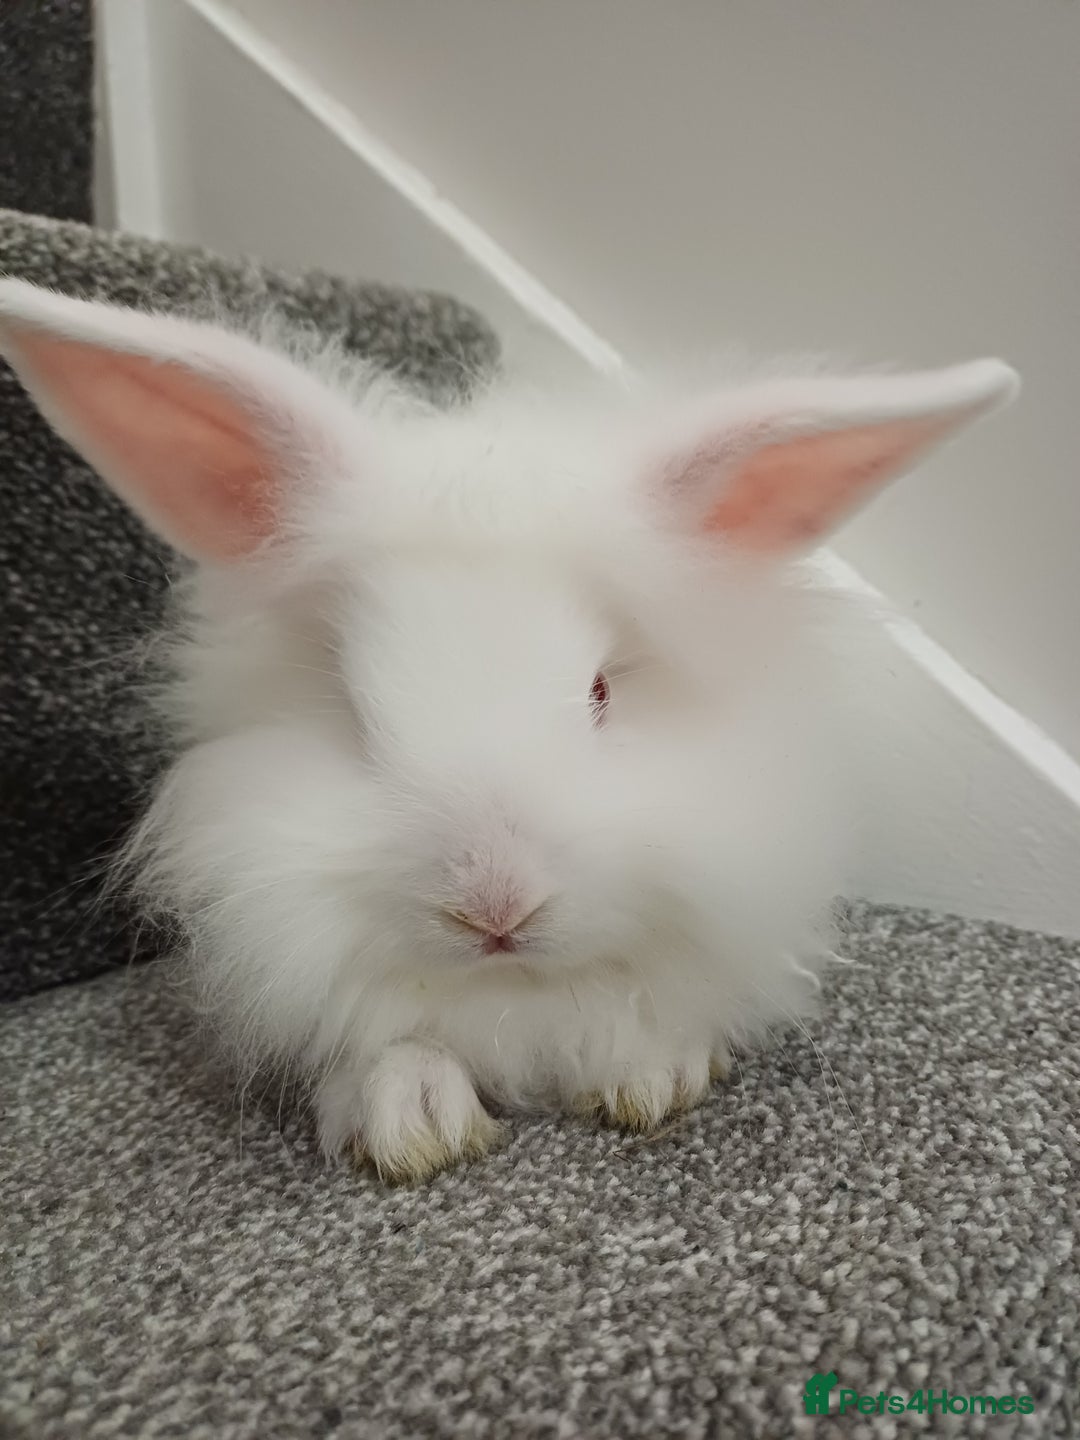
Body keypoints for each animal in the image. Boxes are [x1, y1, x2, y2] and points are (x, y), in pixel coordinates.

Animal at [0, 279, 1018, 1183]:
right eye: (352, 706)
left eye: (602, 692)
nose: (493, 908)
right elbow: (392, 1044)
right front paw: (408, 1118)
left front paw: (655, 1074)